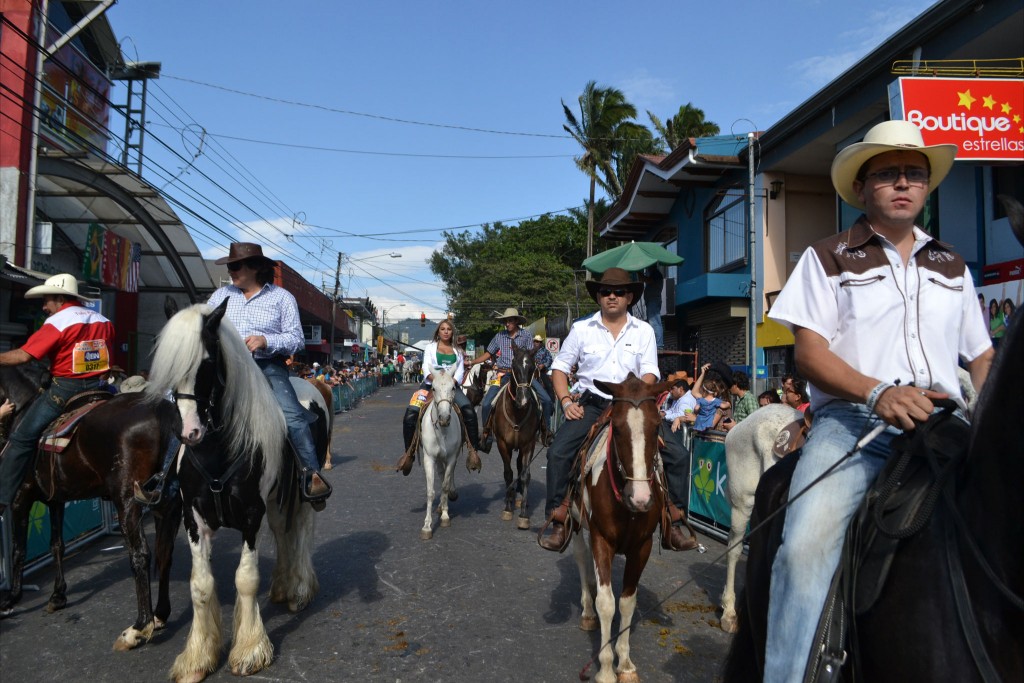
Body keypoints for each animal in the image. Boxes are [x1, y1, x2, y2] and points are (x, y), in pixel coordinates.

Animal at [0, 378, 183, 651]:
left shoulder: (20, 497)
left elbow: (18, 550)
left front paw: (11, 598)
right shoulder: (55, 500)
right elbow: (57, 545)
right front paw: (57, 595)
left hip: (127, 501)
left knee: (141, 555)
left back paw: (140, 627)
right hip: (168, 503)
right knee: (165, 553)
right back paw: (160, 614)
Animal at [417, 368, 462, 540]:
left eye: (453, 387)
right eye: (434, 389)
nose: (444, 418)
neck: (442, 431)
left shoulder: (451, 458)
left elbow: (445, 486)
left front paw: (444, 516)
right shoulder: (429, 458)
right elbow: (430, 492)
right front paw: (427, 526)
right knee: (441, 473)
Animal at [489, 348, 540, 528]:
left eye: (532, 368)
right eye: (514, 368)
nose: (523, 400)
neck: (517, 412)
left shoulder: (529, 444)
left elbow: (524, 475)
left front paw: (524, 514)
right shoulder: (503, 444)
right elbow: (508, 474)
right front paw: (508, 508)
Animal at [573, 374, 675, 683]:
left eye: (657, 426)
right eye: (616, 429)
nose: (639, 498)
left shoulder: (642, 547)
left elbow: (627, 602)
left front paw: (626, 663)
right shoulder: (601, 539)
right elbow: (607, 603)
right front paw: (606, 668)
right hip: (576, 521)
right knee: (581, 557)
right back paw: (587, 610)